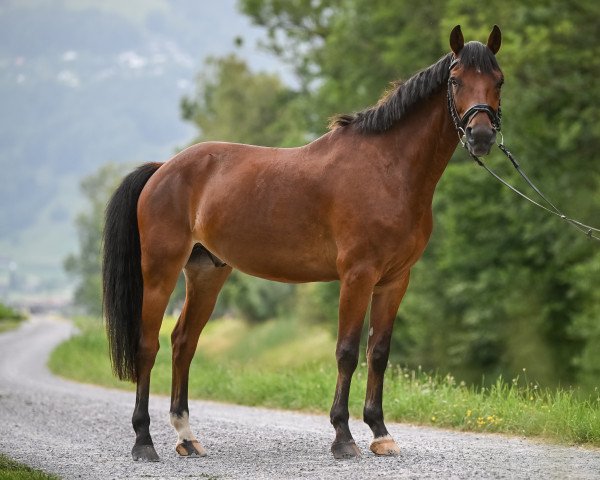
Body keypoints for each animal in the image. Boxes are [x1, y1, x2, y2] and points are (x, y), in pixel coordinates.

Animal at [102, 25, 502, 462]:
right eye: (455, 80)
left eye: (498, 80)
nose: (481, 135)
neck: (388, 169)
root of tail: (163, 170)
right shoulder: (357, 276)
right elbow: (347, 351)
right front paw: (343, 437)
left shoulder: (395, 281)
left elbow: (378, 353)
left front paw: (380, 433)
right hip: (160, 271)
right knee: (148, 345)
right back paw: (144, 441)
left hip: (207, 274)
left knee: (183, 343)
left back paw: (186, 437)